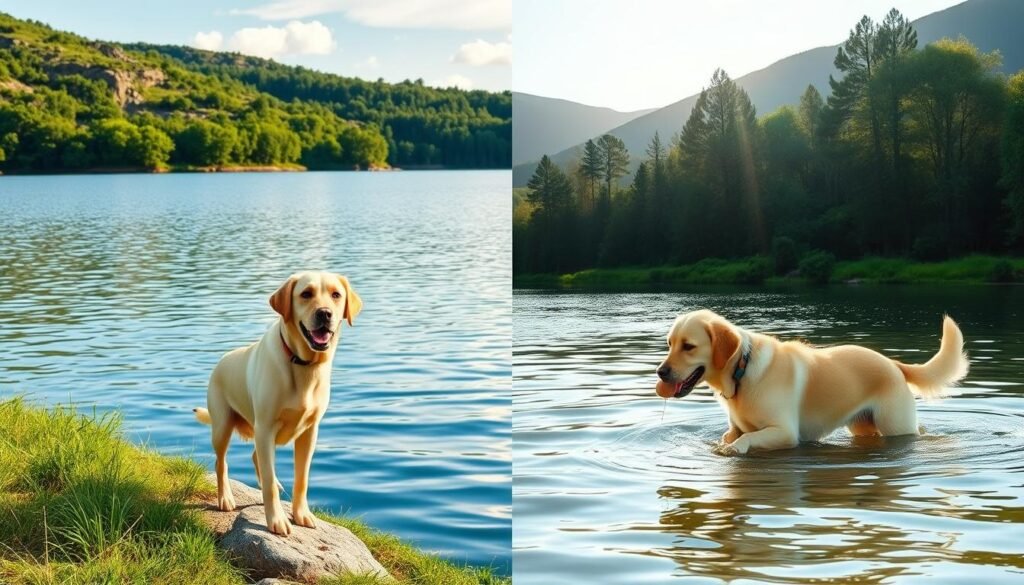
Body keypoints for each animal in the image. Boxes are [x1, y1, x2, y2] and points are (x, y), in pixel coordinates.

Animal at [193, 270, 362, 536]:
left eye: (336, 295)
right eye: (306, 294)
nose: (325, 313)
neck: (302, 364)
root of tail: (221, 360)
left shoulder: (309, 432)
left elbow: (301, 479)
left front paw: (301, 514)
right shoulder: (266, 427)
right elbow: (269, 482)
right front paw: (276, 520)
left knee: (255, 457)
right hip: (223, 427)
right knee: (222, 463)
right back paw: (225, 498)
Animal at [655, 309, 966, 454]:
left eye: (689, 346)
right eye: (669, 343)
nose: (660, 372)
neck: (741, 371)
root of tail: (894, 363)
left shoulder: (785, 433)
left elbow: (749, 437)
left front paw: (735, 449)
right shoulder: (735, 427)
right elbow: (732, 434)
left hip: (895, 426)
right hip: (863, 427)